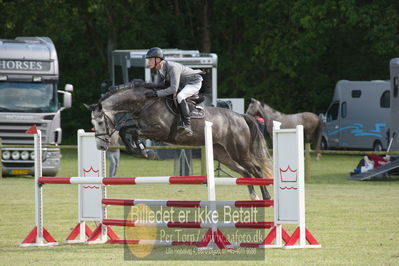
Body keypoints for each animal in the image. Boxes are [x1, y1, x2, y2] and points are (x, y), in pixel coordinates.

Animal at [86, 81, 276, 200]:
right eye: (92, 124)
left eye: (101, 122)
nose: (101, 146)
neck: (144, 103)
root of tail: (241, 117)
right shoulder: (146, 129)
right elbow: (127, 131)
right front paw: (140, 150)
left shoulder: (160, 131)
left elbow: (129, 131)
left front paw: (142, 150)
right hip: (223, 155)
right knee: (245, 172)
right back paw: (254, 196)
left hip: (238, 152)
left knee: (256, 170)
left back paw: (266, 197)